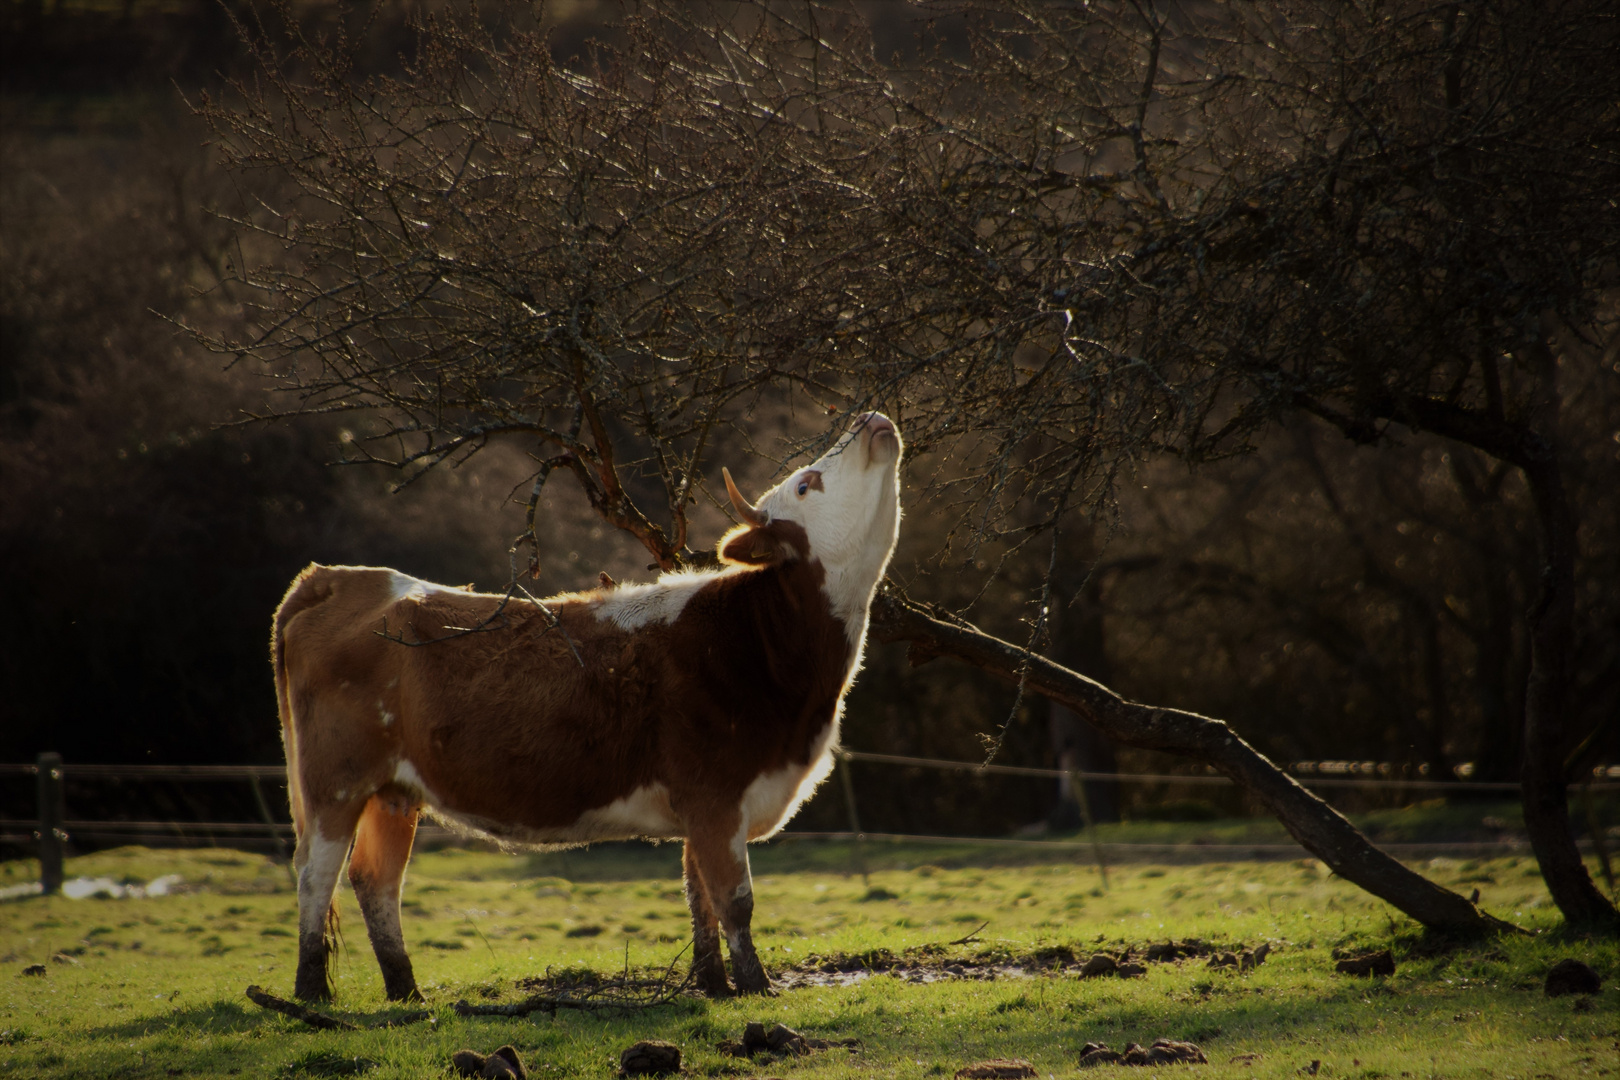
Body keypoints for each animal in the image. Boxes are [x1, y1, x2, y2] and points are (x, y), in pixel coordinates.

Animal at [267, 409, 900, 1003]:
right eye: (806, 484)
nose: (870, 419)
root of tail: (343, 576)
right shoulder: (715, 796)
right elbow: (734, 900)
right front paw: (754, 986)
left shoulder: (699, 808)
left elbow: (698, 897)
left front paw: (713, 984)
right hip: (336, 782)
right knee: (315, 874)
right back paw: (312, 991)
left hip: (395, 791)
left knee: (376, 879)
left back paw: (406, 992)